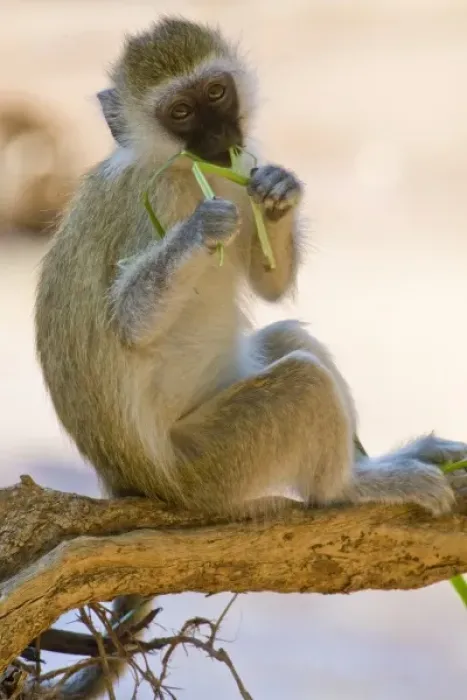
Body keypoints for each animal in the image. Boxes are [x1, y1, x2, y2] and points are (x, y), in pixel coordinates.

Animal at [33, 16, 467, 699]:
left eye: (217, 92)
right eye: (181, 112)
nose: (220, 139)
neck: (185, 171)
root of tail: (133, 484)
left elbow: (268, 285)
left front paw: (278, 192)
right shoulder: (147, 205)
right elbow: (127, 323)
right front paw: (196, 232)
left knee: (290, 340)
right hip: (209, 472)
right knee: (303, 383)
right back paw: (352, 488)